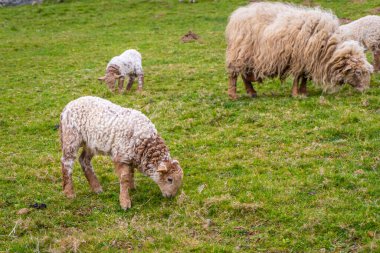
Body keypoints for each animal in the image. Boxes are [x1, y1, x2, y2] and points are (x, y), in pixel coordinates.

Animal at [226, 2, 374, 98]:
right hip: (239, 52)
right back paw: (233, 95)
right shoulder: (299, 59)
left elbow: (304, 77)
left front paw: (303, 92)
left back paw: (251, 91)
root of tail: (237, 14)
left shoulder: (308, 60)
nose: (366, 90)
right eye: (358, 72)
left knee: (244, 74)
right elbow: (298, 77)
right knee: (234, 74)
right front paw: (297, 94)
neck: (328, 47)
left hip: (246, 55)